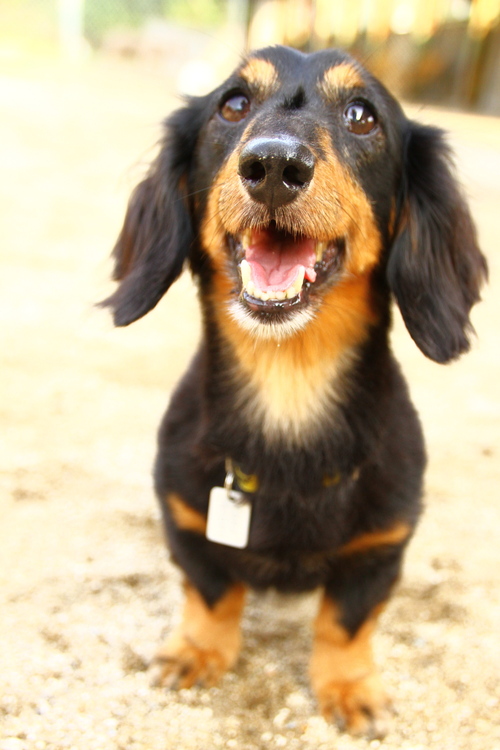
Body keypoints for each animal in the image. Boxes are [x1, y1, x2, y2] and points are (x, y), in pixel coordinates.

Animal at [102, 47, 488, 740]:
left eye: (362, 115)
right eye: (232, 104)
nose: (275, 166)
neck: (290, 384)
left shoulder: (380, 548)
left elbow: (345, 621)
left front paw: (351, 687)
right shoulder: (186, 518)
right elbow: (211, 590)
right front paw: (198, 650)